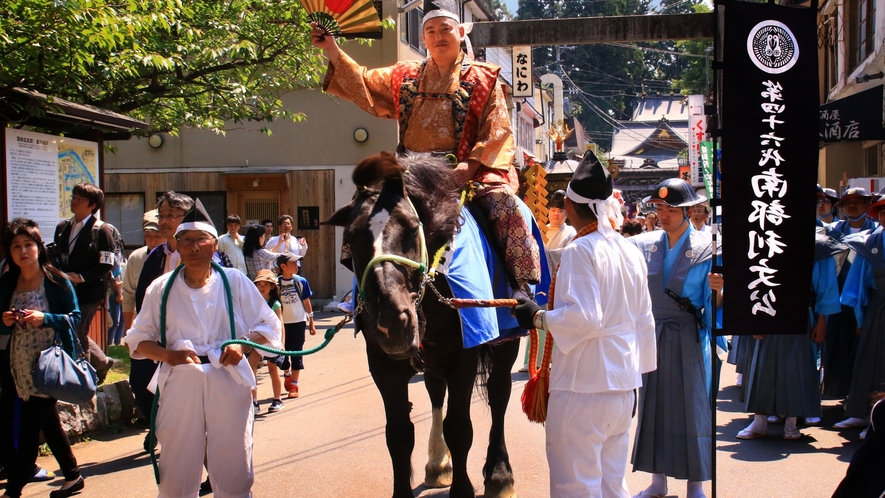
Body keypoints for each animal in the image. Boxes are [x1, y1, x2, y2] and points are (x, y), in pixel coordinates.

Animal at [322, 153, 516, 498]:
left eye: (412, 230)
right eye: (351, 239)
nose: (391, 323)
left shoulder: (463, 357)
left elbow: (459, 428)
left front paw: (464, 489)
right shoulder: (384, 364)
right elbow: (399, 435)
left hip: (508, 338)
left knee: (499, 393)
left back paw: (499, 474)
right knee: (436, 391)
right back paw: (438, 463)